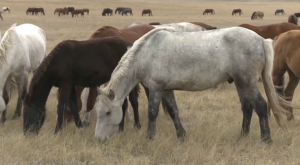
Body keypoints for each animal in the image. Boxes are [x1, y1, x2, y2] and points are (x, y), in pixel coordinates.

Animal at [94, 26, 292, 143]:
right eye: (98, 112)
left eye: (108, 112)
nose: (98, 139)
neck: (146, 54)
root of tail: (261, 40)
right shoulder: (166, 89)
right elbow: (173, 111)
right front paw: (181, 136)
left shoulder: (156, 88)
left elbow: (152, 113)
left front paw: (150, 137)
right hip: (240, 83)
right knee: (248, 108)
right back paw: (242, 136)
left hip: (247, 82)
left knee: (260, 106)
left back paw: (266, 139)